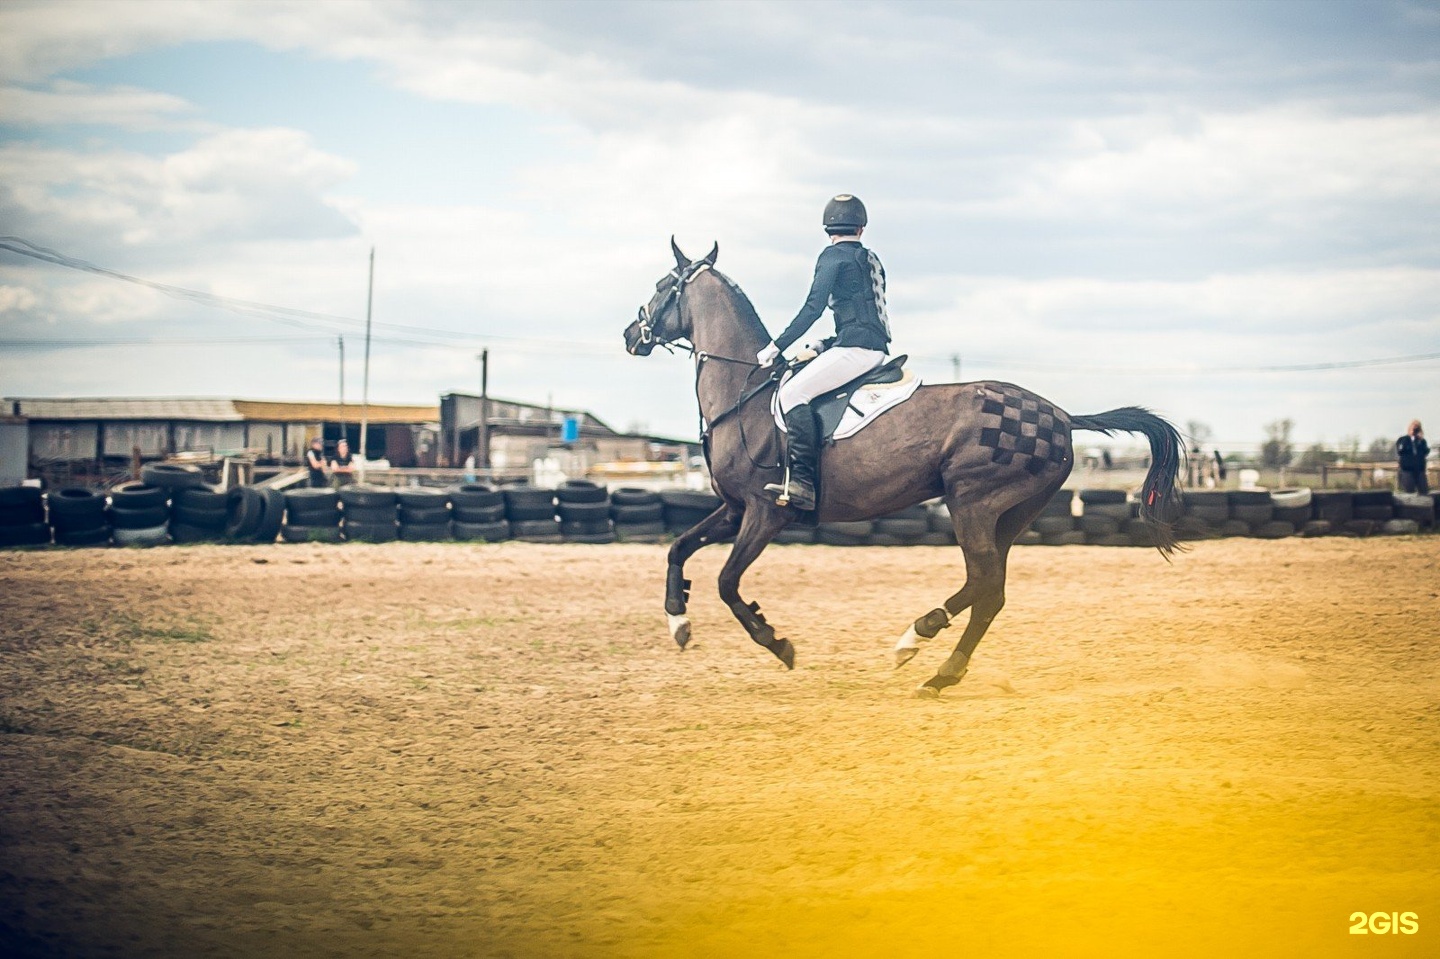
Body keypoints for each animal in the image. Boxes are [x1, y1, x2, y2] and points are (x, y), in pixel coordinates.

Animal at [619, 234, 1180, 691]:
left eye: (662, 285)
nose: (630, 335)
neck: (745, 394)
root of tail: (1062, 416)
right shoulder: (735, 509)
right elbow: (678, 548)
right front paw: (678, 622)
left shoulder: (764, 511)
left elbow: (727, 582)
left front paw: (777, 643)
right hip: (1011, 514)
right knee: (990, 591)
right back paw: (939, 670)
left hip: (972, 502)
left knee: (983, 582)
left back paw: (917, 642)